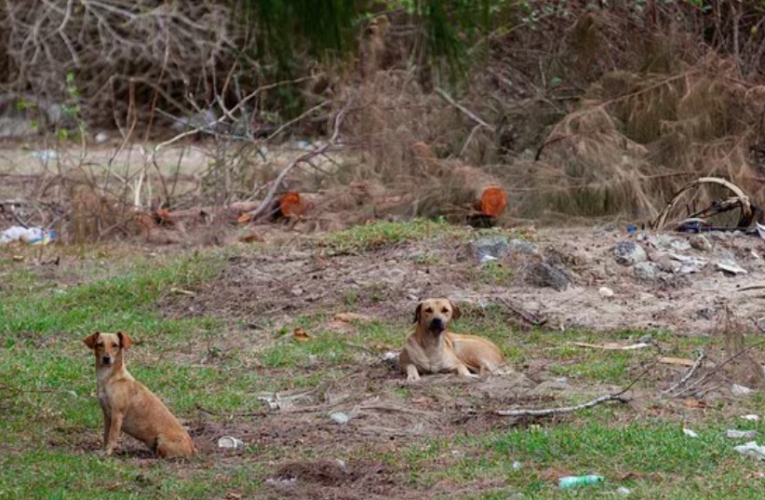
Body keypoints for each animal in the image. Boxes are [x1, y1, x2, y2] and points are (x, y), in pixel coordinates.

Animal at [82, 330, 195, 458]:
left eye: (115, 345)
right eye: (100, 344)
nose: (106, 358)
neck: (109, 379)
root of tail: (192, 448)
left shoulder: (117, 414)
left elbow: (112, 436)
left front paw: (108, 453)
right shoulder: (106, 414)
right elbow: (106, 435)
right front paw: (103, 450)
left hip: (162, 440)